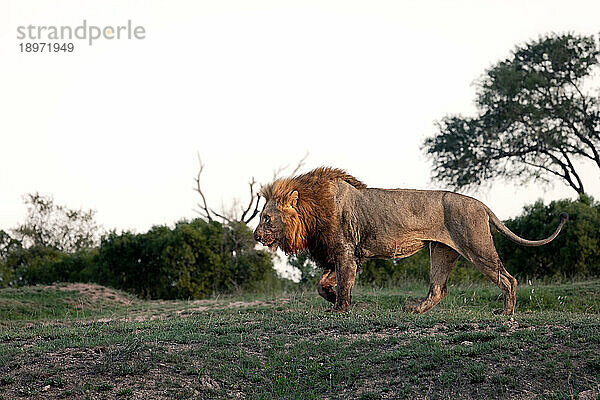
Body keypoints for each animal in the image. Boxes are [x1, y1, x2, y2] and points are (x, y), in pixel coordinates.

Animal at [253, 167, 568, 314]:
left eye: (266, 218)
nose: (256, 235)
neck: (310, 212)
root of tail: (481, 204)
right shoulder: (343, 254)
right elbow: (322, 284)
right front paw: (331, 298)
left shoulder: (345, 251)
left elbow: (343, 284)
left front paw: (339, 308)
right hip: (442, 251)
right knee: (438, 290)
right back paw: (415, 309)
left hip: (476, 245)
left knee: (508, 279)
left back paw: (506, 313)